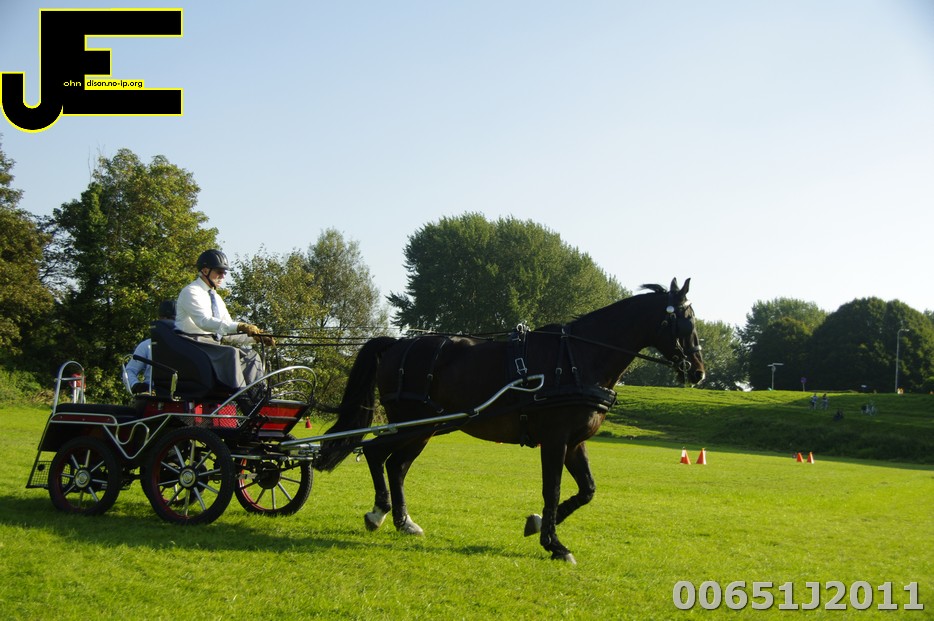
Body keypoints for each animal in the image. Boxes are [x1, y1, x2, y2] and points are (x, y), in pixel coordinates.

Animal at [314, 278, 705, 563]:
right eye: (685, 320)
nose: (699, 372)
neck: (578, 357)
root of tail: (396, 344)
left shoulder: (575, 442)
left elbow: (587, 491)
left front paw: (538, 525)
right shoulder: (555, 439)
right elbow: (553, 489)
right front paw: (554, 544)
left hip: (427, 428)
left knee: (395, 464)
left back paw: (401, 521)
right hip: (415, 423)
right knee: (377, 453)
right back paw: (379, 513)